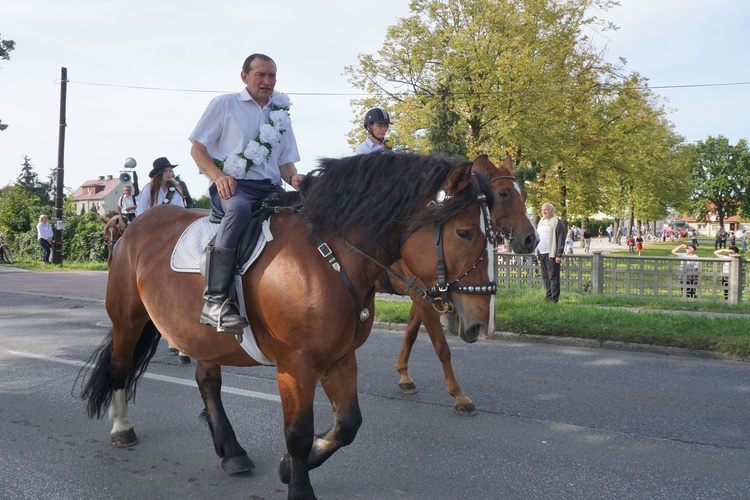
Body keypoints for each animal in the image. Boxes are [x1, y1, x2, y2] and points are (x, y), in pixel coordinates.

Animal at [78, 153, 500, 500]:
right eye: (464, 232)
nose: (482, 323)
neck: (328, 258)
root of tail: (135, 227)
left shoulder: (340, 358)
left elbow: (348, 424)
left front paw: (289, 465)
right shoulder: (296, 367)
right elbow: (297, 432)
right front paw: (299, 486)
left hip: (202, 334)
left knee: (207, 382)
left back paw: (232, 452)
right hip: (128, 318)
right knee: (119, 367)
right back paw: (122, 428)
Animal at [378, 154, 536, 416]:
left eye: (522, 194)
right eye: (503, 194)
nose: (532, 239)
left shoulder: (425, 294)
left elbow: (411, 332)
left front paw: (404, 375)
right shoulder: (421, 295)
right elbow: (441, 345)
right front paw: (458, 395)